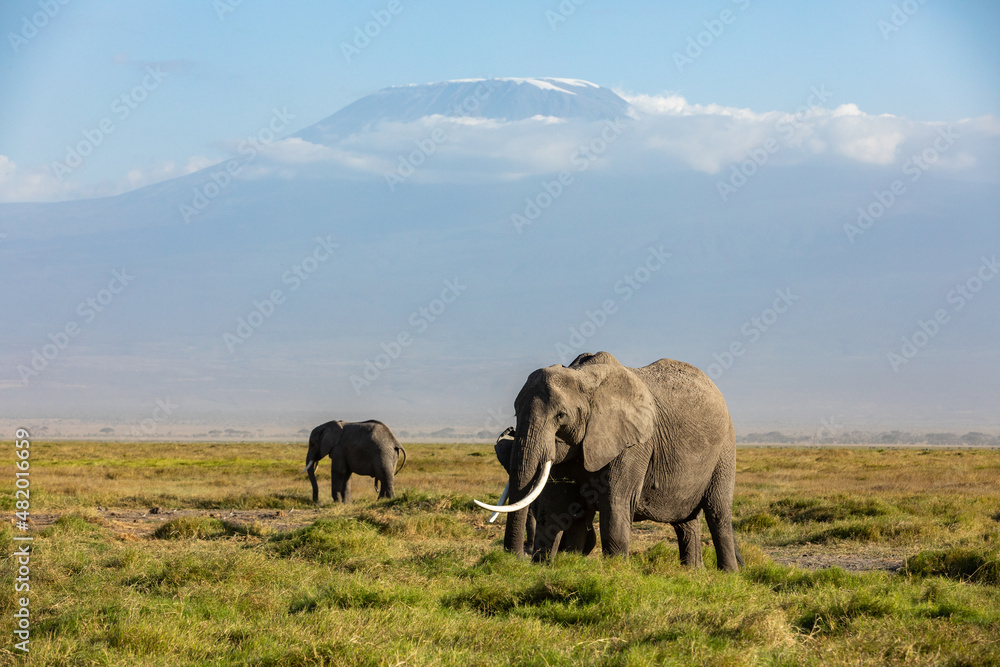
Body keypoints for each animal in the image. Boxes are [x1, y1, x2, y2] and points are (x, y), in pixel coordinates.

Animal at [475, 351, 742, 570]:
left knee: (717, 512)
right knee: (685, 522)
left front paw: (616, 572)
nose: (514, 558)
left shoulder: (634, 443)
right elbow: (556, 506)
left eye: (561, 416)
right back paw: (692, 573)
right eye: (515, 412)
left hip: (725, 448)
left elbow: (615, 502)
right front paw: (556, 566)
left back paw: (728, 574)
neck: (585, 379)